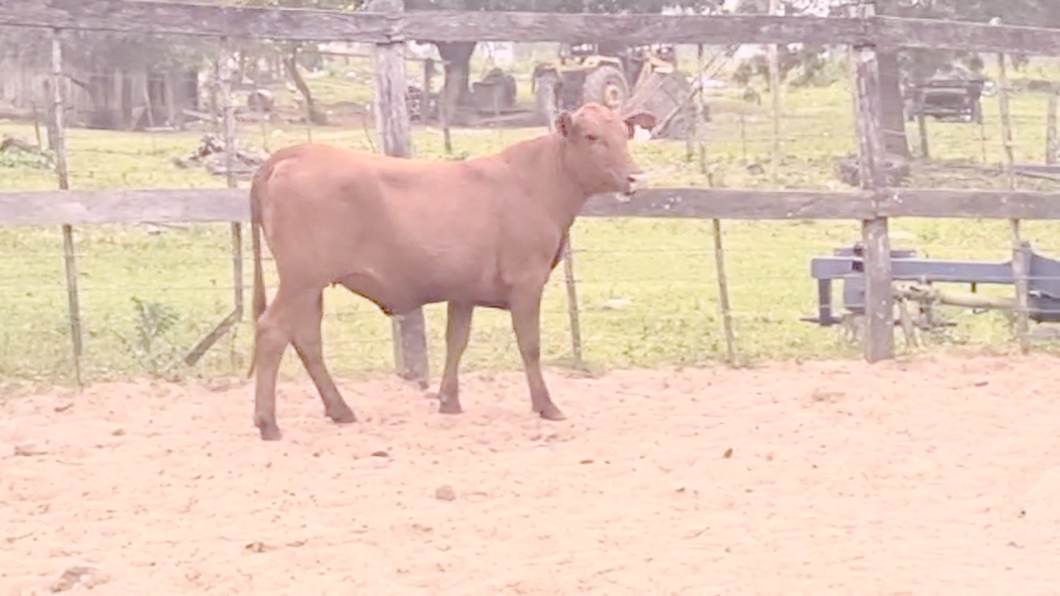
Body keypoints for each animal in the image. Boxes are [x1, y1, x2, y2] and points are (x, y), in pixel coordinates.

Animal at [246, 101, 648, 439]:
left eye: (624, 134)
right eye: (592, 137)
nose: (635, 178)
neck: (536, 183)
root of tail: (298, 152)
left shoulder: (463, 290)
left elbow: (457, 341)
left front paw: (448, 400)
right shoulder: (527, 281)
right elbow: (529, 345)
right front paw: (546, 405)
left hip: (310, 285)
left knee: (306, 338)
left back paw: (340, 409)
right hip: (301, 279)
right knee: (272, 331)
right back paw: (267, 423)